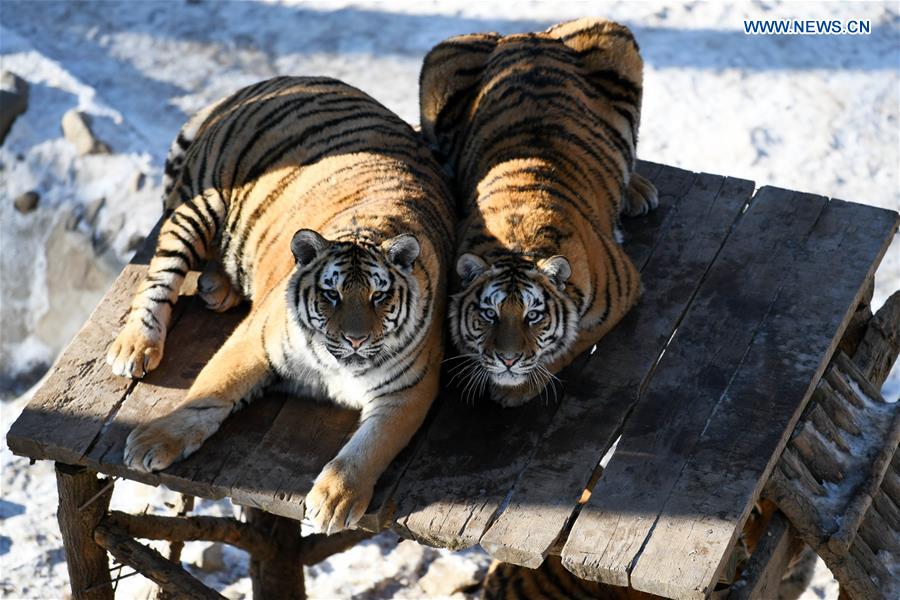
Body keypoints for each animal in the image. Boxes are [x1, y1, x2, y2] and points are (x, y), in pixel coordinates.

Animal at [106, 76, 454, 536]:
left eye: (379, 296)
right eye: (331, 294)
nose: (356, 340)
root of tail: (274, 80)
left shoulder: (410, 390)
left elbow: (371, 446)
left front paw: (335, 499)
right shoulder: (255, 340)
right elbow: (208, 394)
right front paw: (153, 440)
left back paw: (218, 287)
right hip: (199, 203)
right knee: (160, 276)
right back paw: (135, 346)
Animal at [418, 17, 656, 408]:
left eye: (534, 316)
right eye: (489, 314)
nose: (508, 359)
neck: (518, 241)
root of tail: (528, 34)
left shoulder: (623, 291)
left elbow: (571, 342)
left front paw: (517, 388)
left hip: (614, 37)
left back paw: (638, 191)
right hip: (440, 64)